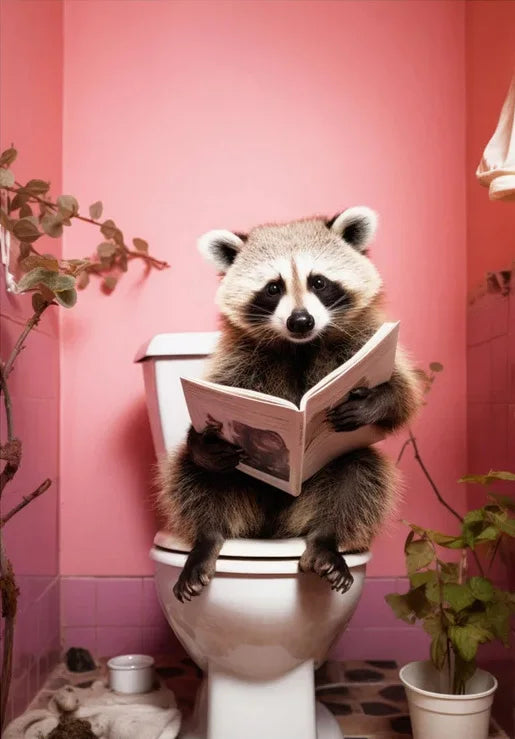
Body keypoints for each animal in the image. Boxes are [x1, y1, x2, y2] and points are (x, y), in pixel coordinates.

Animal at [158, 207, 420, 602]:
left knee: (360, 470)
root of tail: (273, 530)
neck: (301, 345)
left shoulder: (364, 339)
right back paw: (208, 536)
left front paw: (379, 399)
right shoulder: (240, 357)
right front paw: (202, 440)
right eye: (273, 288)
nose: (301, 321)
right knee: (193, 472)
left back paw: (326, 538)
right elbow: (216, 399)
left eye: (319, 282)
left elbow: (405, 396)